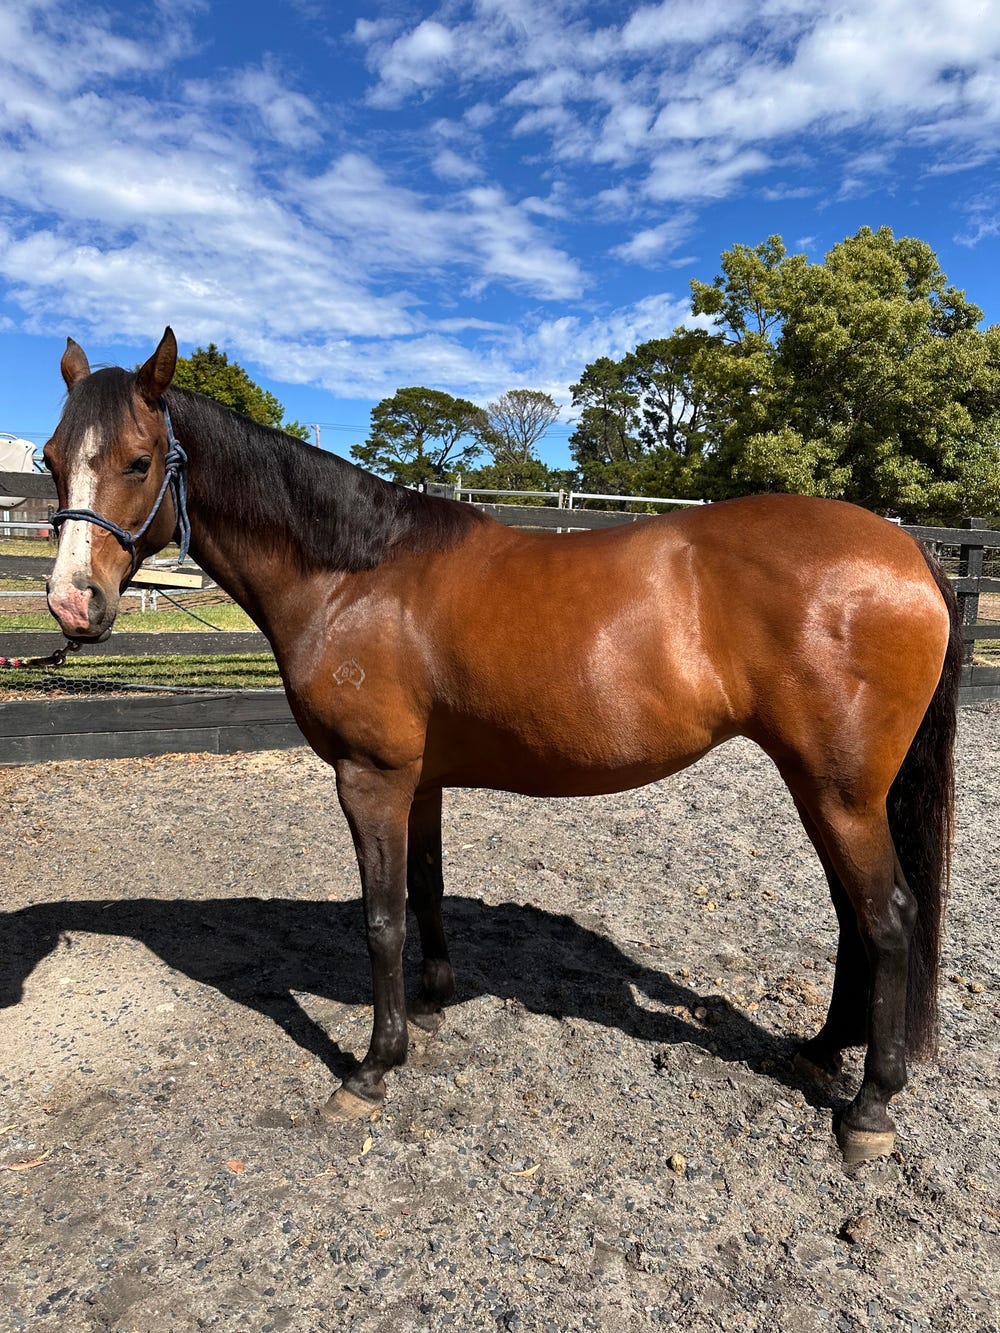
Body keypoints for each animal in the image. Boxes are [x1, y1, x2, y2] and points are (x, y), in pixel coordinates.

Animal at [41, 328, 961, 1162]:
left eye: (137, 461)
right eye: (51, 460)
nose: (72, 604)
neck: (357, 575)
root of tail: (909, 550)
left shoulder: (369, 778)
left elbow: (381, 918)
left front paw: (371, 1069)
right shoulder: (418, 781)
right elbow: (426, 890)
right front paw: (433, 1005)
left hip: (838, 793)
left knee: (888, 918)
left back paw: (869, 1109)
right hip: (831, 792)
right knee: (855, 919)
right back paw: (822, 1051)